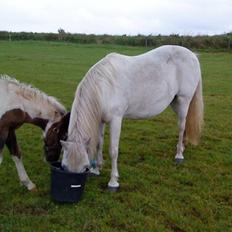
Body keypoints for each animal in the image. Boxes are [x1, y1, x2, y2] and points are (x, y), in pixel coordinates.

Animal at [59, 45, 203, 188]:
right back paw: (182, 147)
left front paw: (113, 181)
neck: (104, 87)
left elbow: (113, 150)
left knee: (181, 126)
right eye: (64, 167)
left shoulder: (116, 120)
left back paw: (179, 155)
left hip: (183, 100)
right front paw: (96, 169)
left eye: (84, 167)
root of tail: (192, 55)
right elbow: (99, 143)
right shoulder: (100, 120)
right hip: (175, 102)